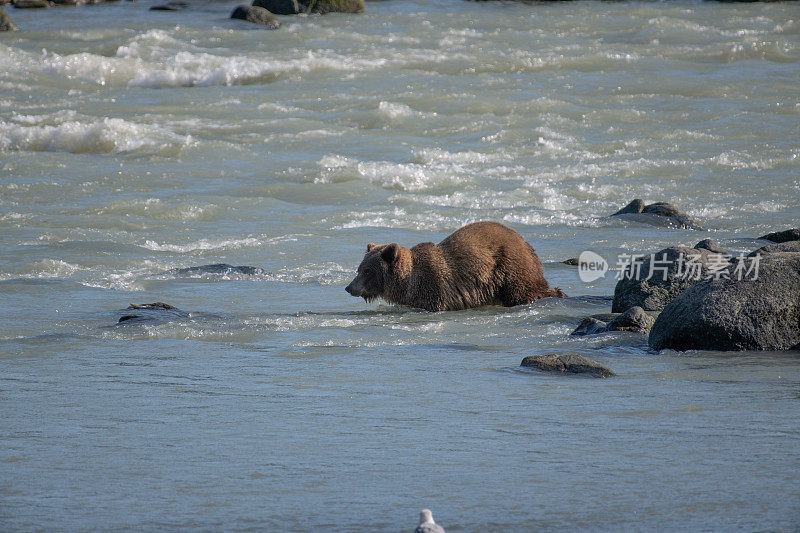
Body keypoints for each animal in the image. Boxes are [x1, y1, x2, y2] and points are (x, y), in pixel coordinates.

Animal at [342, 220, 564, 312]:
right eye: (359, 269)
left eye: (367, 271)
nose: (349, 287)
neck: (407, 283)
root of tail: (523, 240)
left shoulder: (434, 290)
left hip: (509, 266)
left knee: (524, 289)